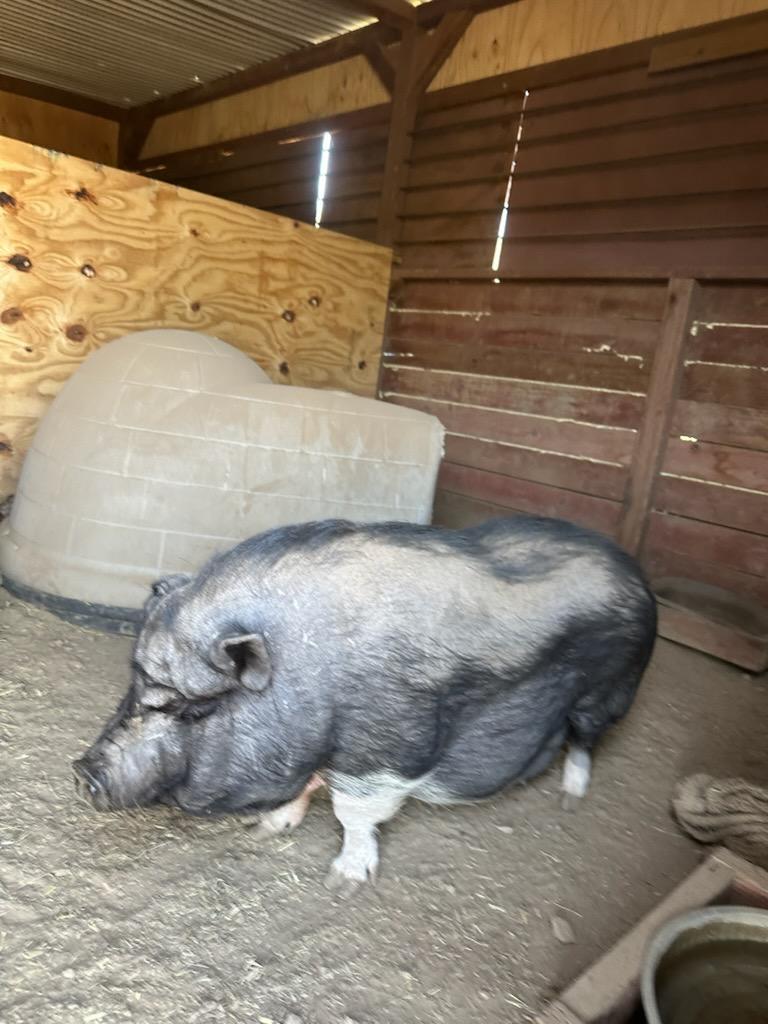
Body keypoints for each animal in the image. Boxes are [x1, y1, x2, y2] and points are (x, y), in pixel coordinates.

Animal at [74, 515, 656, 893]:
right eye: (134, 683)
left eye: (191, 709)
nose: (83, 772)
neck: (309, 669)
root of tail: (635, 570)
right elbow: (308, 784)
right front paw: (265, 827)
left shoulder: (385, 750)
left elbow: (354, 812)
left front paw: (344, 883)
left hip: (608, 691)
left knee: (586, 741)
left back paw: (570, 798)